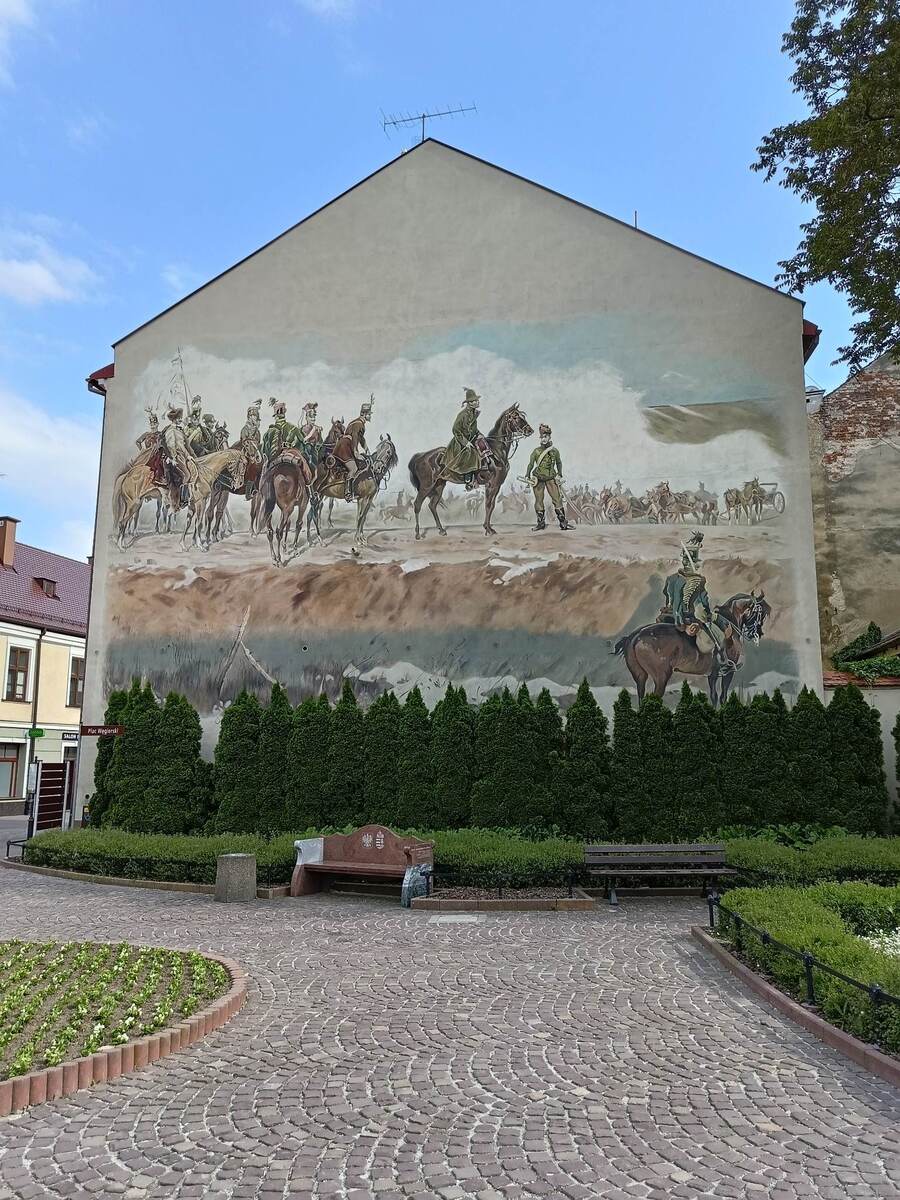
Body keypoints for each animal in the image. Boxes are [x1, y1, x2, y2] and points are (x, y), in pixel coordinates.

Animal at [408, 403, 534, 538]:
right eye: (515, 417)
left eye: (522, 416)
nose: (530, 430)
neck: (496, 452)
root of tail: (420, 456)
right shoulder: (491, 485)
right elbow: (488, 505)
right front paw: (487, 530)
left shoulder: (497, 485)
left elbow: (492, 506)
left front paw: (489, 528)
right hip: (426, 486)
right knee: (417, 505)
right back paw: (417, 534)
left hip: (439, 485)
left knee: (432, 505)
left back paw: (441, 530)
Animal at [614, 591, 771, 707]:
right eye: (760, 613)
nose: (759, 633)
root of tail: (635, 636)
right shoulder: (726, 673)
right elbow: (721, 696)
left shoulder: (712, 674)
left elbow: (714, 696)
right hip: (661, 677)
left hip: (640, 676)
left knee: (641, 697)